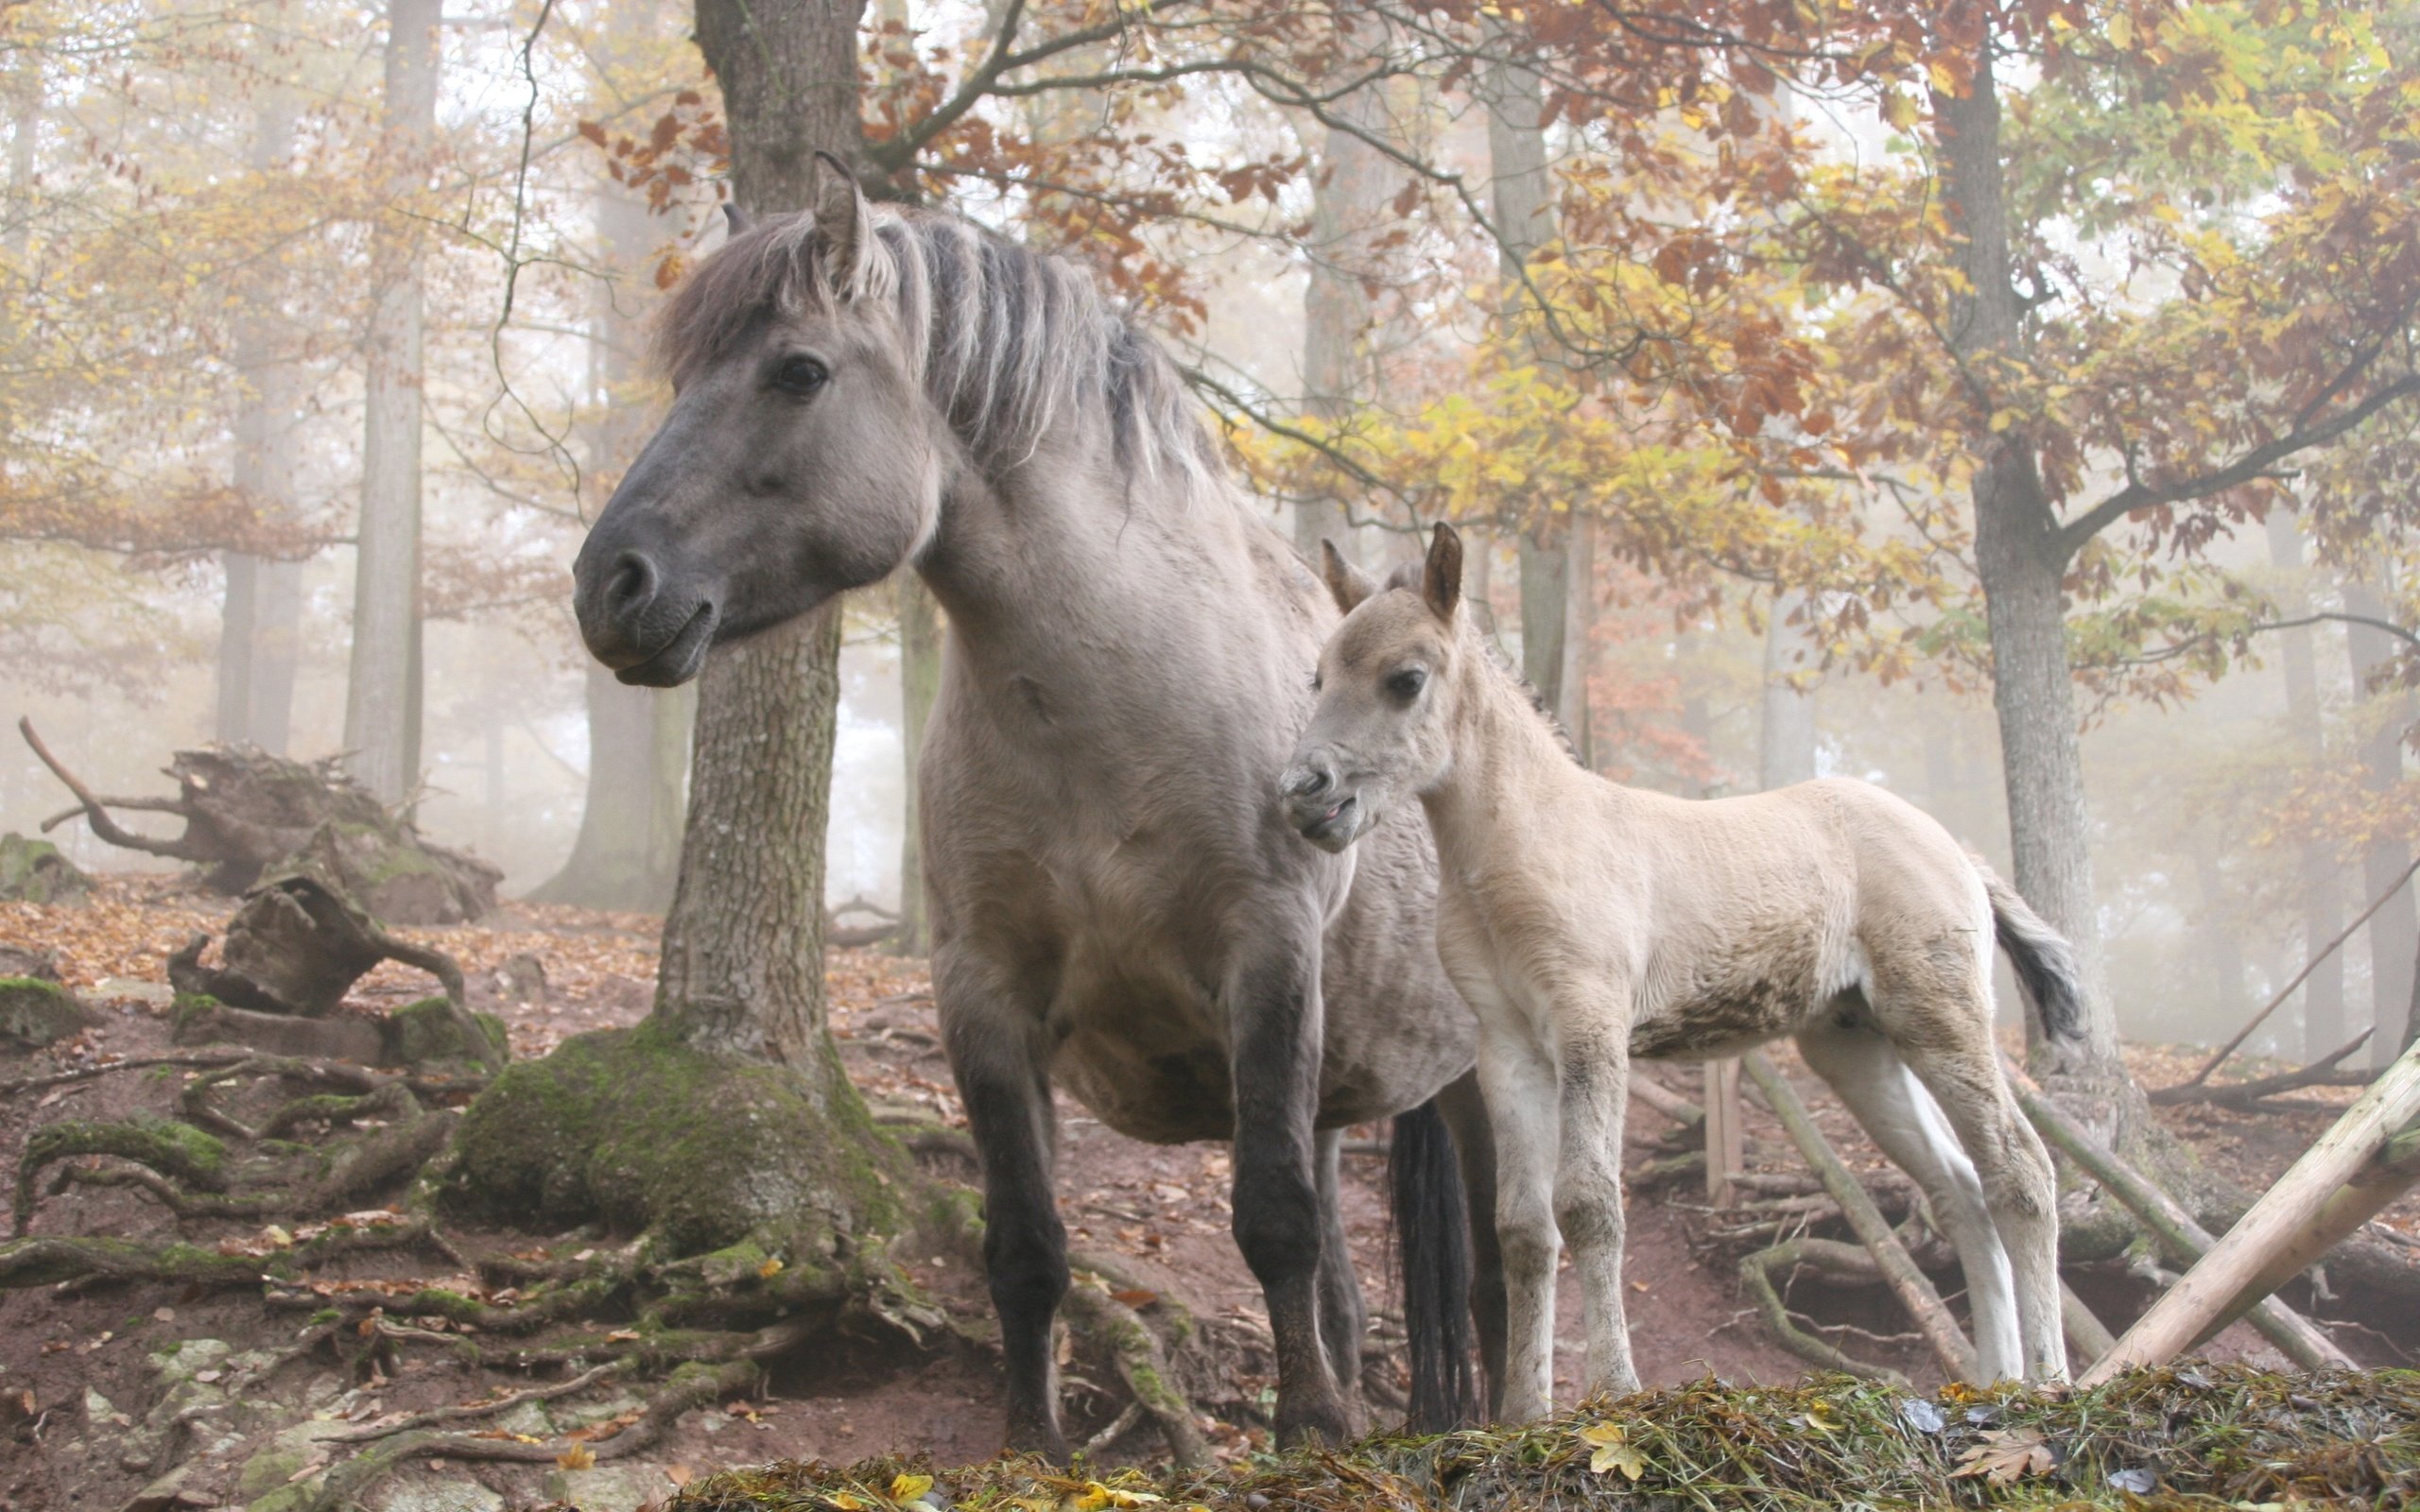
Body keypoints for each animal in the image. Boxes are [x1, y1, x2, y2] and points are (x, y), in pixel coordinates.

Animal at [573, 170, 1500, 1461]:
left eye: (798, 372)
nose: (610, 587)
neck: (1106, 712)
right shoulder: (984, 993)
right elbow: (1024, 1244)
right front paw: (1034, 1441)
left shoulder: (1265, 958)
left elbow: (1271, 1218)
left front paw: (1309, 1429)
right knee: (1349, 1283)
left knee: (1508, 1270)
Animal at [1287, 522, 2081, 1413]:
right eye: (1319, 676)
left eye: (1406, 679)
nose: (1305, 792)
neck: (1529, 843)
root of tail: (1956, 852)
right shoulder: (1508, 1048)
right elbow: (1524, 1226)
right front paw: (1525, 1414)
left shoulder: (1591, 1028)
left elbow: (1590, 1204)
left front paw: (1614, 1390)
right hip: (1856, 1044)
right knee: (1960, 1191)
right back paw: (1994, 1384)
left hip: (1940, 1020)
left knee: (2021, 1171)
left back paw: (2050, 1379)